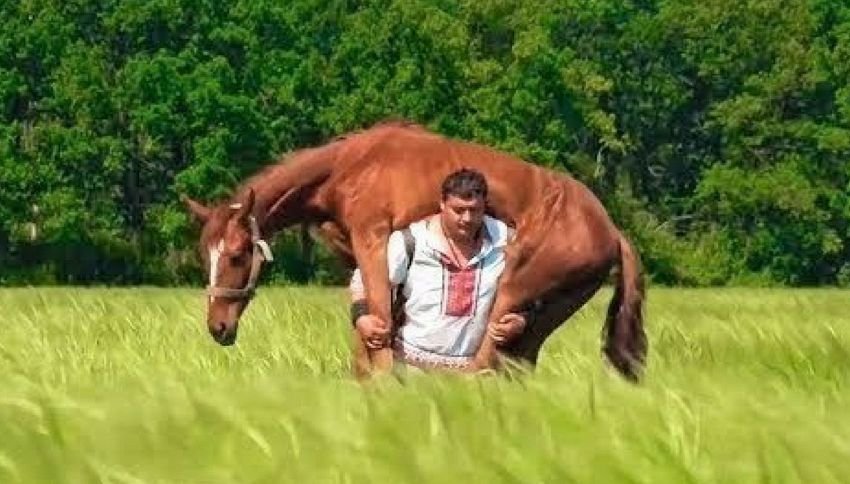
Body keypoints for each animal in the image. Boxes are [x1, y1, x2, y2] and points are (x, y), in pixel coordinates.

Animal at [183, 120, 647, 380]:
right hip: (549, 307)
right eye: (206, 257)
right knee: (518, 362)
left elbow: (380, 336)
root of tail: (611, 229)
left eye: (237, 256)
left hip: (514, 286)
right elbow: (371, 331)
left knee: (488, 356)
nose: (218, 326)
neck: (348, 166)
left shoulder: (372, 239)